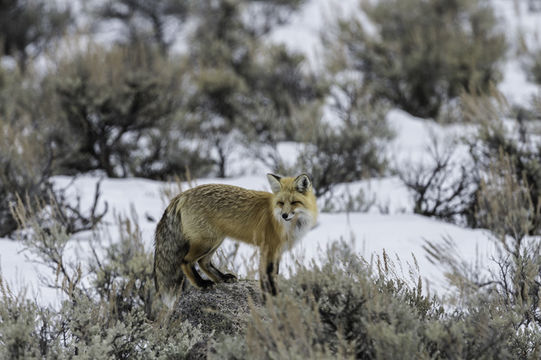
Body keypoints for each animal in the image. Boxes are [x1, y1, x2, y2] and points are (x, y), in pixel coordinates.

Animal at [153, 173, 316, 302]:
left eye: (294, 202)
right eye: (281, 203)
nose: (284, 215)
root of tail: (182, 194)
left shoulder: (276, 252)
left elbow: (271, 275)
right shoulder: (269, 248)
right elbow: (268, 276)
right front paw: (272, 297)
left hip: (215, 241)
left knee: (203, 262)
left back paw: (222, 278)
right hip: (206, 242)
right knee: (185, 261)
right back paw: (202, 284)